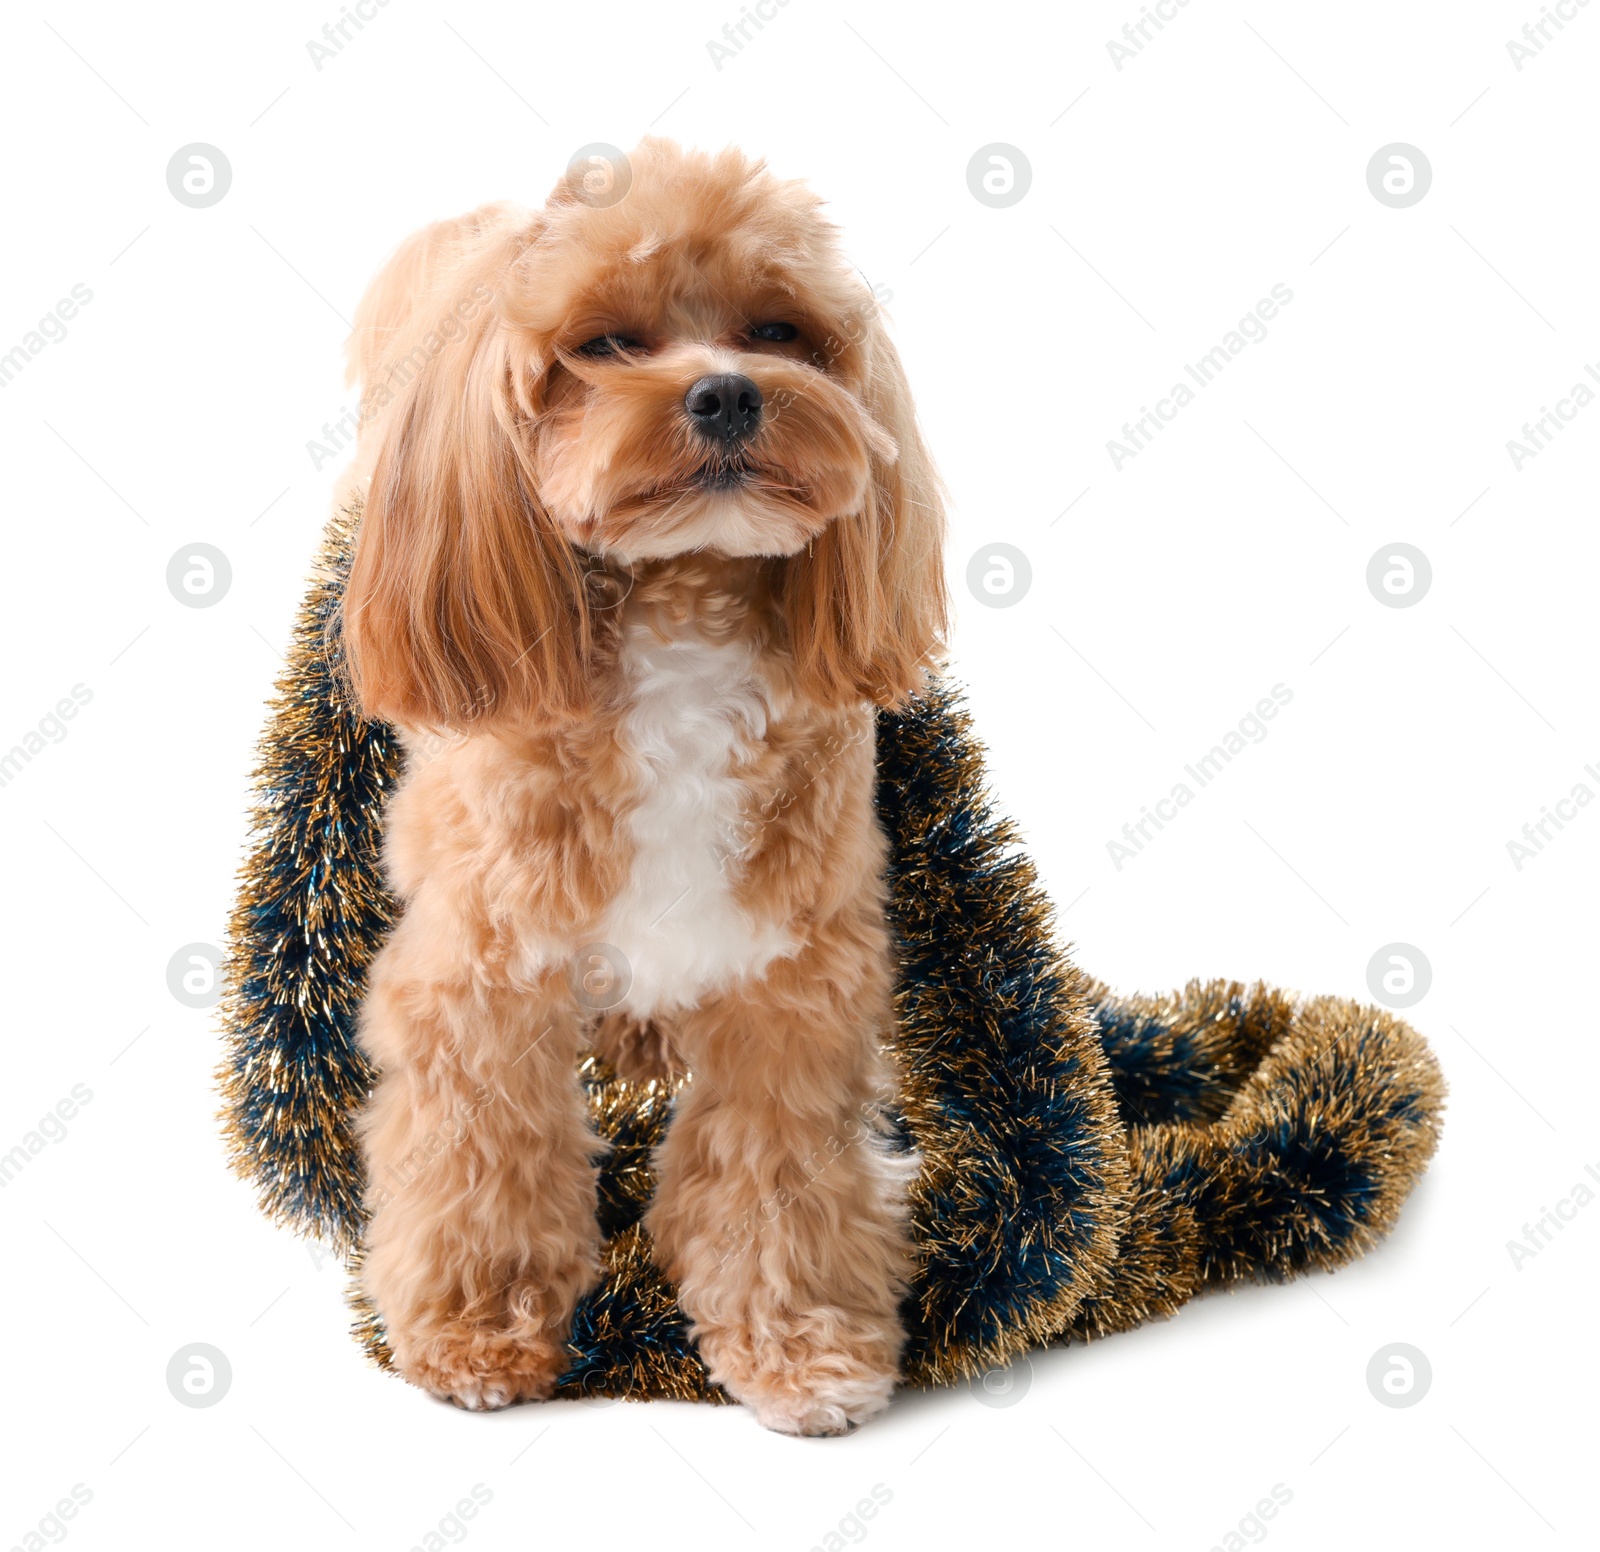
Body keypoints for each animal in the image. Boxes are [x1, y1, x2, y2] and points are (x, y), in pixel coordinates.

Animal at [331, 139, 940, 1433]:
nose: (726, 394)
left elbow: (777, 1171)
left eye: (777, 329)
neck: (681, 608)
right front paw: (477, 1328)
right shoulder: (481, 974)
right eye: (606, 343)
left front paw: (802, 1344)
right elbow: (481, 1156)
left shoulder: (792, 974)